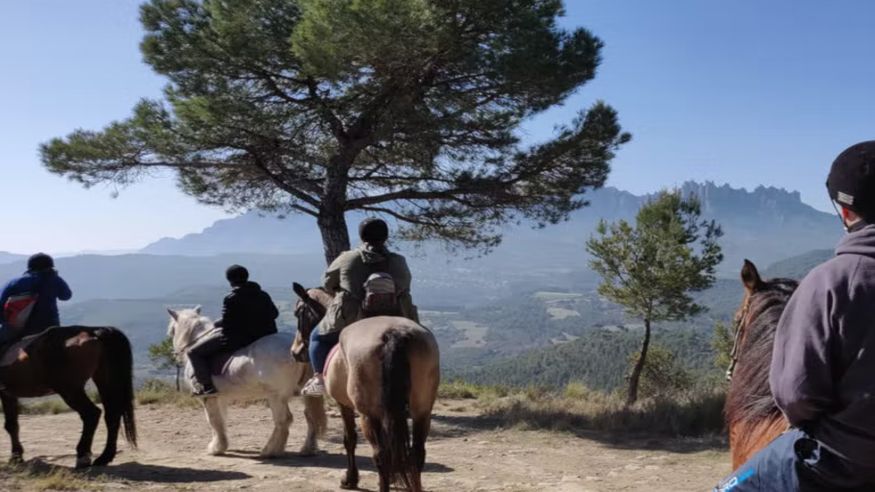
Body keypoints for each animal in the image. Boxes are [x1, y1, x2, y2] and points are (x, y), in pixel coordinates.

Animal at [0, 326, 137, 469]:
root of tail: (94, 331)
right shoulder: (9, 395)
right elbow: (12, 425)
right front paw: (16, 456)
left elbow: (9, 425)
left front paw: (15, 457)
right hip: (105, 381)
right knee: (112, 416)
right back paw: (104, 457)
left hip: (70, 390)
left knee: (91, 414)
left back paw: (83, 456)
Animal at [166, 307, 326, 458]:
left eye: (172, 330)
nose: (174, 354)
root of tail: (297, 351)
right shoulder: (220, 398)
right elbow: (221, 420)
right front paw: (221, 444)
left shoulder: (207, 398)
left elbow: (213, 421)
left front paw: (216, 448)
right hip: (304, 393)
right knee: (310, 416)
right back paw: (307, 449)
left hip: (276, 396)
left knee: (284, 420)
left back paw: (270, 451)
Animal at [292, 283, 440, 492]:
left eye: (298, 313)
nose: (295, 352)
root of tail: (393, 333)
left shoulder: (344, 405)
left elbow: (349, 439)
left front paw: (350, 479)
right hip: (422, 411)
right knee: (416, 454)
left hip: (368, 414)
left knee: (381, 455)